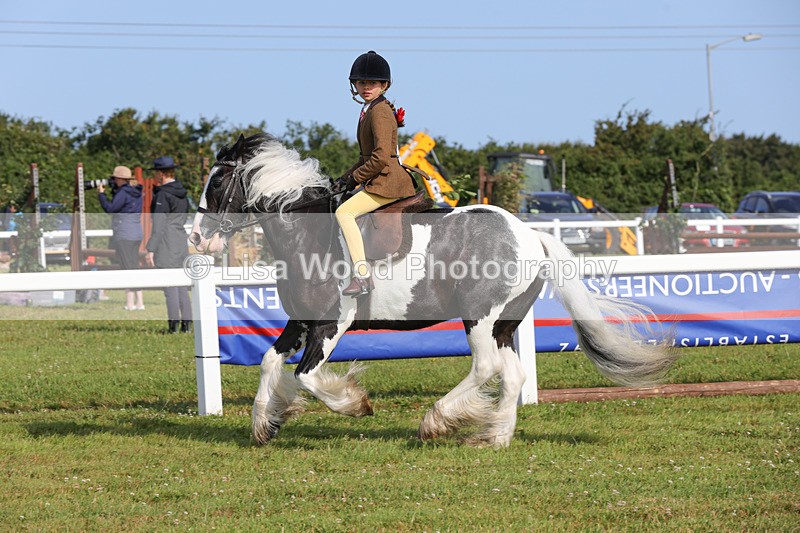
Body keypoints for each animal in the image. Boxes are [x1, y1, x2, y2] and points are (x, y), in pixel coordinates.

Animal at [191, 133, 677, 448]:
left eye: (217, 182)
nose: (196, 238)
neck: (307, 235)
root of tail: (529, 233)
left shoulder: (331, 324)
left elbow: (306, 376)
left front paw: (354, 404)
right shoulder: (300, 320)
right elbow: (270, 362)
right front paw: (267, 423)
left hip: (479, 315)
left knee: (485, 367)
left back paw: (435, 422)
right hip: (504, 323)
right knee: (513, 374)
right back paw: (495, 437)